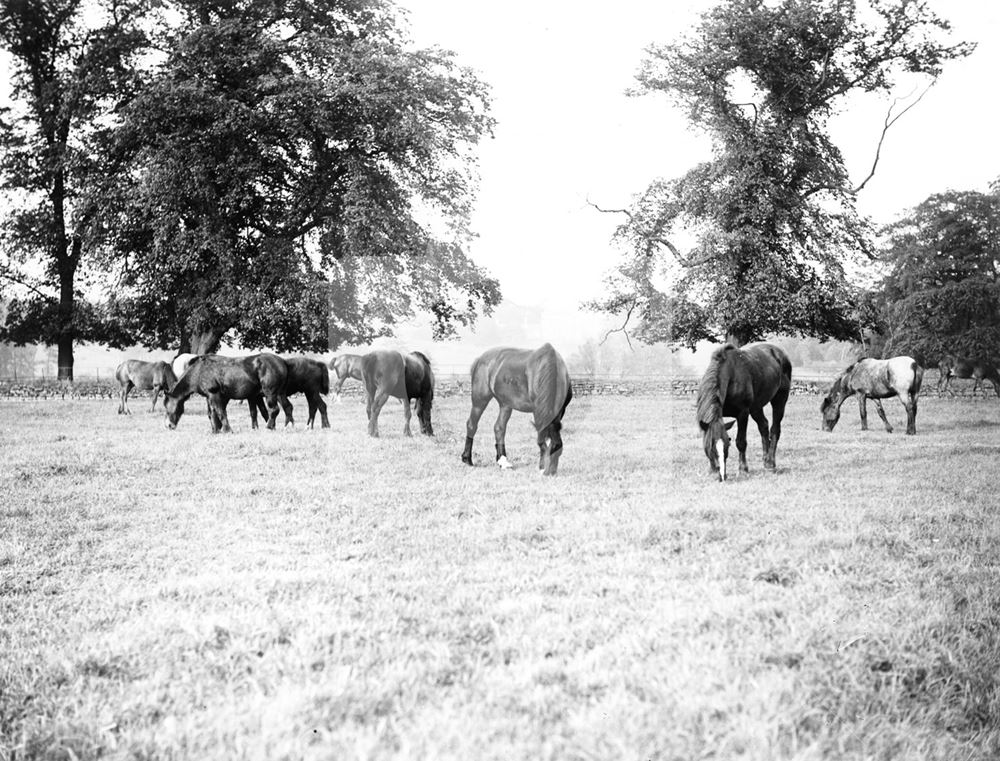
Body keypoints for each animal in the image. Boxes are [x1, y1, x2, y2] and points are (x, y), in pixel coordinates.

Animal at [460, 344, 572, 476]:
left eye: (557, 449)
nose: (549, 472)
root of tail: (479, 359)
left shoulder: (559, 411)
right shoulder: (537, 411)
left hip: (505, 404)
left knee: (499, 428)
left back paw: (503, 461)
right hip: (480, 400)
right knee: (472, 424)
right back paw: (467, 459)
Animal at [696, 342, 788, 480]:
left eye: (727, 445)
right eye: (711, 446)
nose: (722, 476)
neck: (730, 376)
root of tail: (779, 353)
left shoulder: (743, 413)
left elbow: (741, 442)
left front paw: (743, 470)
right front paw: (711, 469)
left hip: (780, 400)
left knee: (774, 430)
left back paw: (771, 464)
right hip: (756, 407)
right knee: (764, 426)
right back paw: (765, 461)